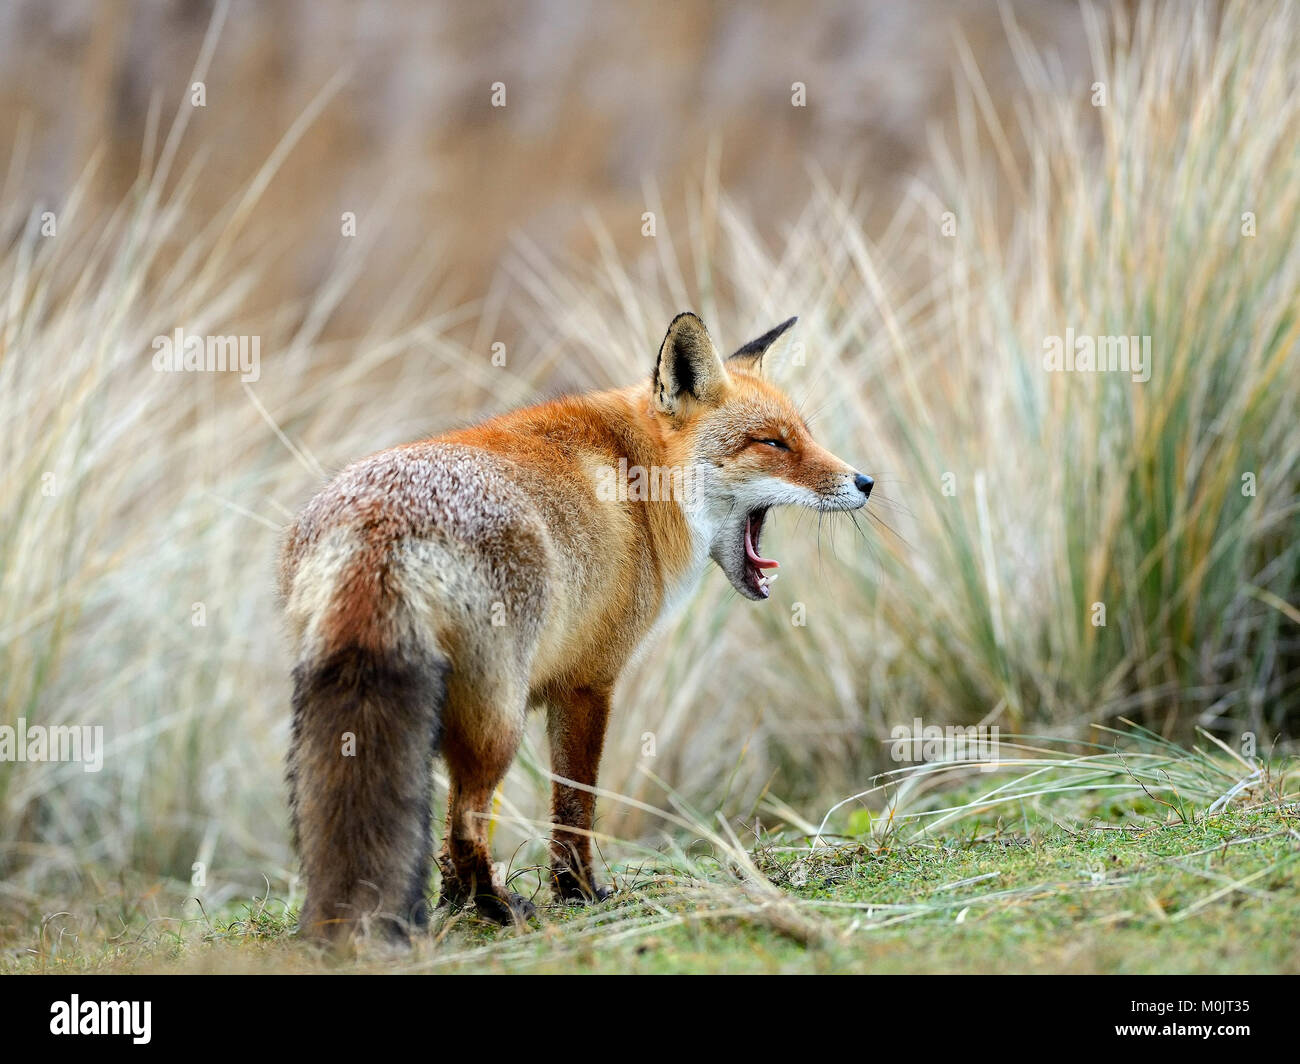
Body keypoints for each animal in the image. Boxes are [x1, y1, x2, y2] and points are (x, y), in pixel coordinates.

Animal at [282, 310, 873, 941]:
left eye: (804, 435)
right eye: (772, 442)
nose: (865, 482)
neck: (641, 478)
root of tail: (382, 523)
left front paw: (455, 904)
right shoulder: (589, 682)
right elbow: (575, 806)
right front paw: (580, 892)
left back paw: (459, 904)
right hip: (499, 719)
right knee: (468, 820)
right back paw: (499, 906)